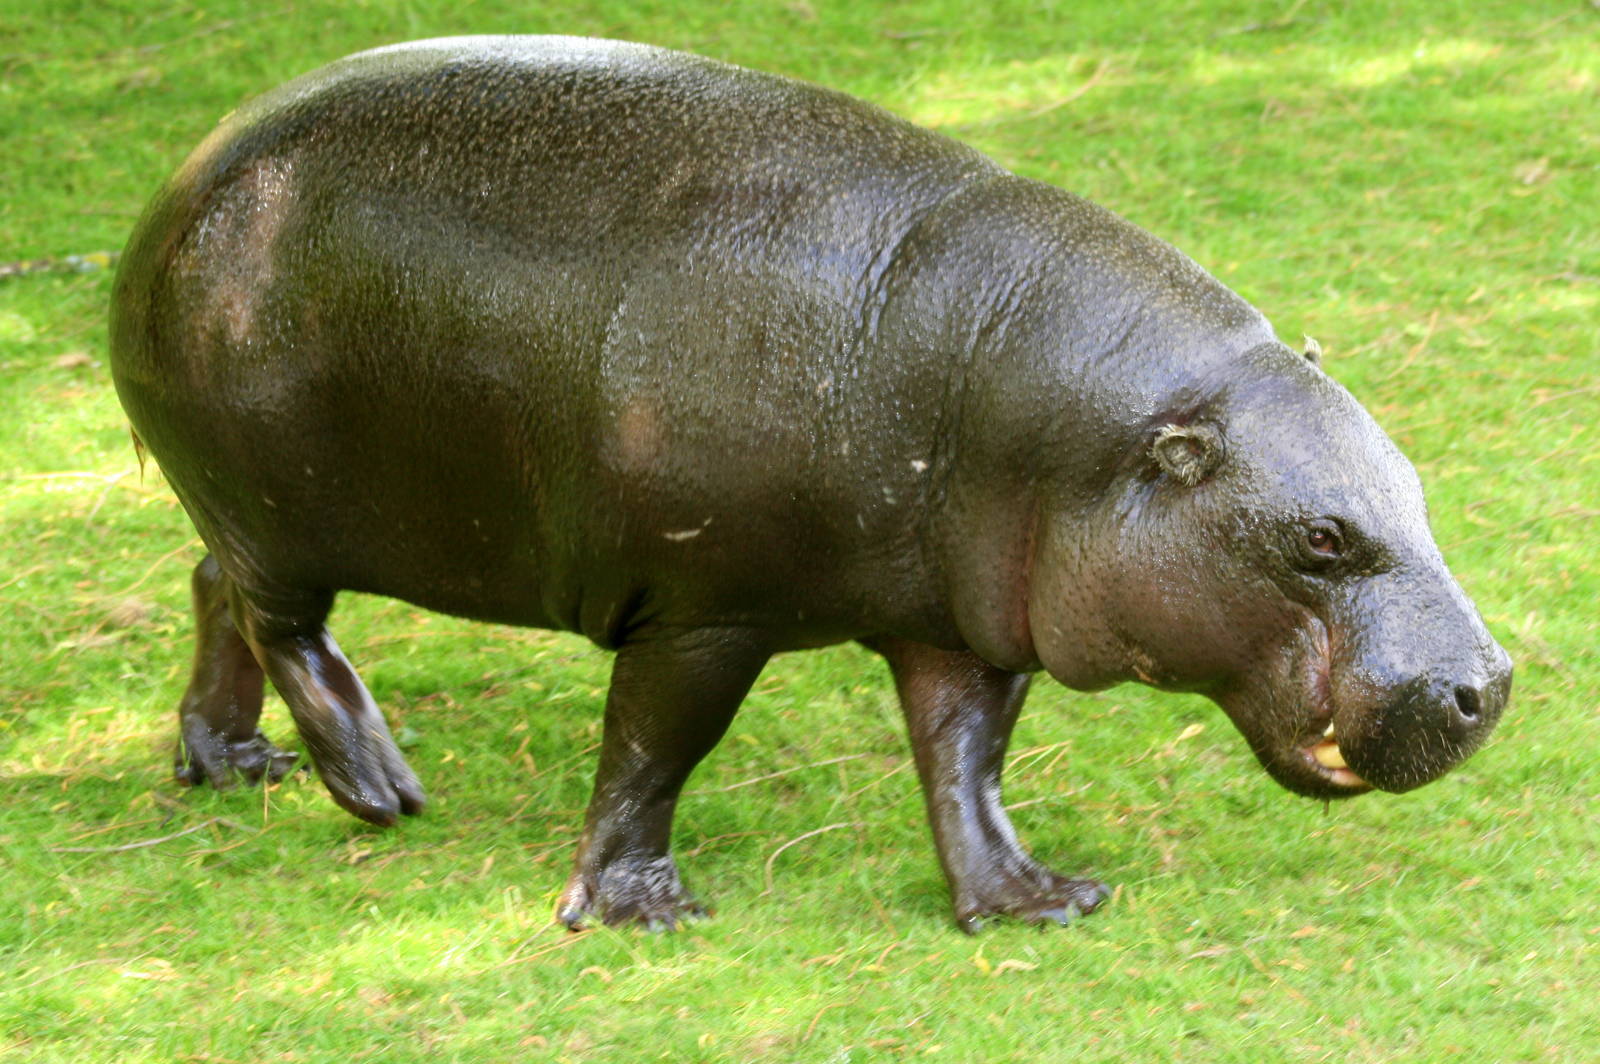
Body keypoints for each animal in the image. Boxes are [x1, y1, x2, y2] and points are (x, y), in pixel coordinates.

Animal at [109, 36, 1512, 932]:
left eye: (1413, 483)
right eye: (1322, 536)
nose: (1487, 681)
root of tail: (182, 174)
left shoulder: (963, 619)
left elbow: (964, 759)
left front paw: (1034, 902)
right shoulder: (701, 612)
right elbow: (653, 746)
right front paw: (641, 911)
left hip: (271, 507)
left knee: (209, 584)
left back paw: (229, 763)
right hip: (283, 507)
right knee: (283, 621)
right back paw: (378, 787)